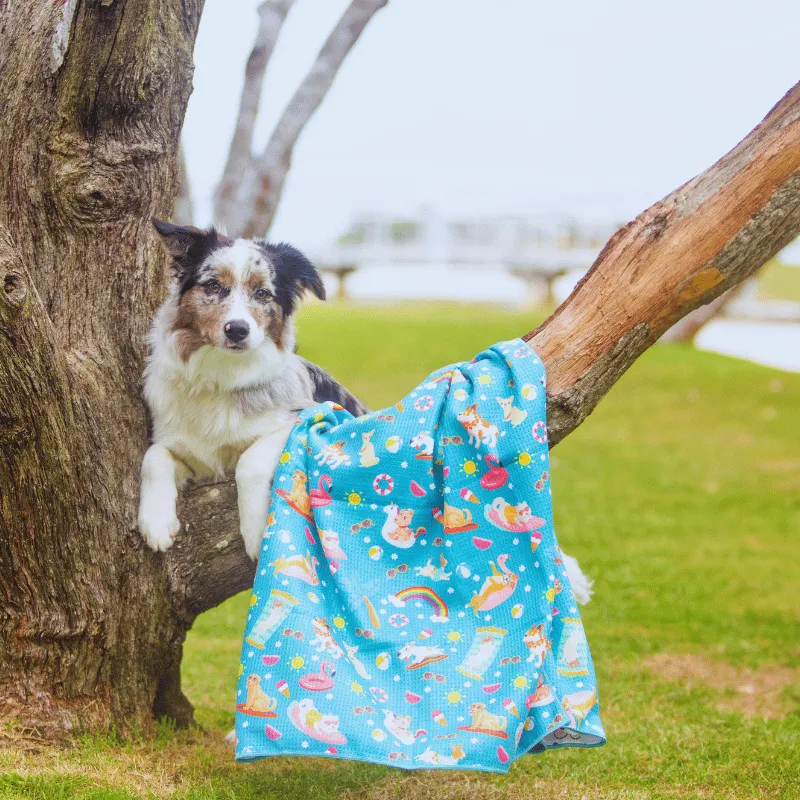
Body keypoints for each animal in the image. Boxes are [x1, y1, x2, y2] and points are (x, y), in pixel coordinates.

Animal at [137, 219, 366, 556]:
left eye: (262, 293)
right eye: (213, 286)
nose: (237, 330)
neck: (221, 375)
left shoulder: (308, 418)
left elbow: (250, 461)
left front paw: (259, 531)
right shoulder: (190, 456)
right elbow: (153, 456)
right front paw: (155, 521)